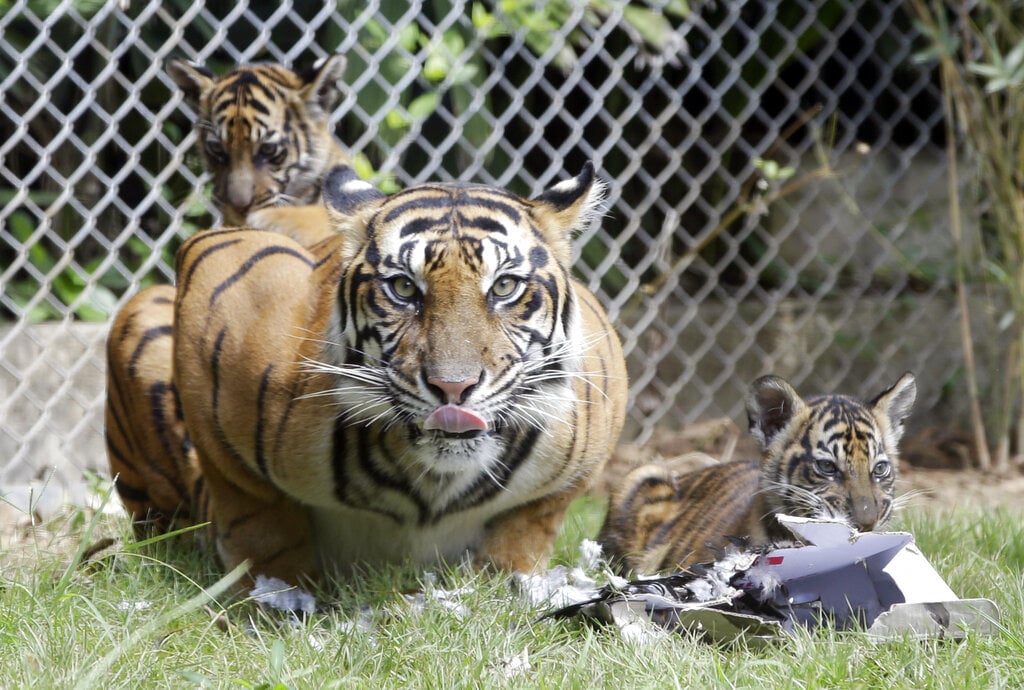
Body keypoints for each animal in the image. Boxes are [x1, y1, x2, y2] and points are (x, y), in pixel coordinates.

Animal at [108, 162, 626, 585]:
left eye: (503, 287)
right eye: (403, 288)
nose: (453, 387)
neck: (433, 486)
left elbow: (527, 527)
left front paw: (508, 585)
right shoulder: (218, 276)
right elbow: (258, 517)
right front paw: (273, 600)